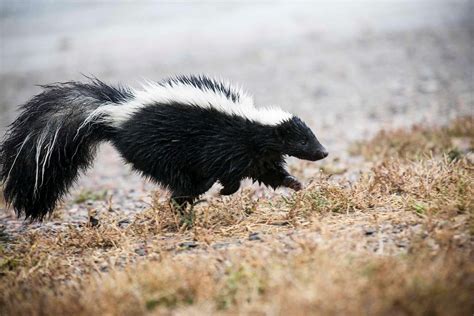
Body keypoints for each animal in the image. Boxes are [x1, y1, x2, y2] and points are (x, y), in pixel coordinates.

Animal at [0, 74, 328, 220]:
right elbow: (226, 168)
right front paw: (226, 189)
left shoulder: (259, 155)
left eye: (312, 137)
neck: (254, 123)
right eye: (303, 140)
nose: (323, 152)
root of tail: (115, 113)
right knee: (178, 176)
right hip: (154, 148)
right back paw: (185, 199)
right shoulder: (225, 142)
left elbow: (269, 173)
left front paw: (294, 183)